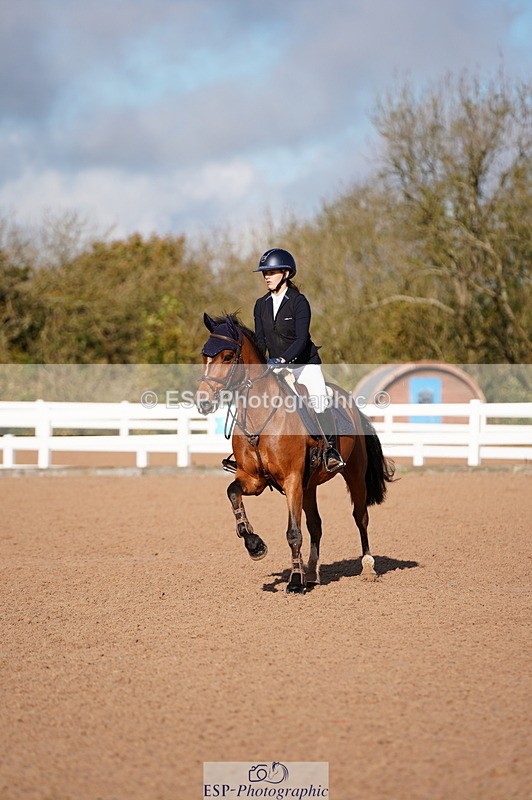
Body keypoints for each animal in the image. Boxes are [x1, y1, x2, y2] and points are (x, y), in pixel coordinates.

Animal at [196, 313, 395, 593]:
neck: (260, 417)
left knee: (360, 516)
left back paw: (367, 567)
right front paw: (254, 544)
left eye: (226, 356)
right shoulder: (254, 480)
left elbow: (293, 532)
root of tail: (350, 402)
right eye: (205, 356)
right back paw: (311, 572)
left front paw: (294, 581)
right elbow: (232, 492)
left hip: (354, 474)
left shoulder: (291, 481)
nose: (203, 402)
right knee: (316, 525)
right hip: (309, 485)